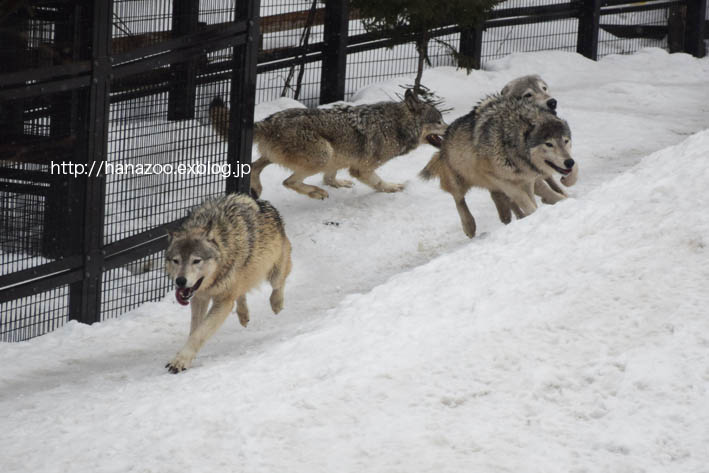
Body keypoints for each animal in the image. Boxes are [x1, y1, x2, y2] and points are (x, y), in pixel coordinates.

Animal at [164, 193, 290, 372]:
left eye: (196, 260)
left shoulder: (222, 302)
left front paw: (180, 361)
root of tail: (262, 202)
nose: (180, 281)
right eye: (176, 260)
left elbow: (199, 333)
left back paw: (276, 304)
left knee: (279, 284)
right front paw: (185, 357)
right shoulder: (200, 298)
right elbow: (195, 331)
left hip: (274, 273)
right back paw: (243, 315)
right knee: (241, 294)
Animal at [420, 94, 576, 238]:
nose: (570, 162)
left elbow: (529, 199)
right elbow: (524, 200)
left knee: (502, 198)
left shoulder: (526, 179)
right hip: (459, 182)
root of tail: (444, 140)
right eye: (549, 144)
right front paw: (533, 214)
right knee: (459, 200)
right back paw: (469, 226)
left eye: (566, 141)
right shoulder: (497, 178)